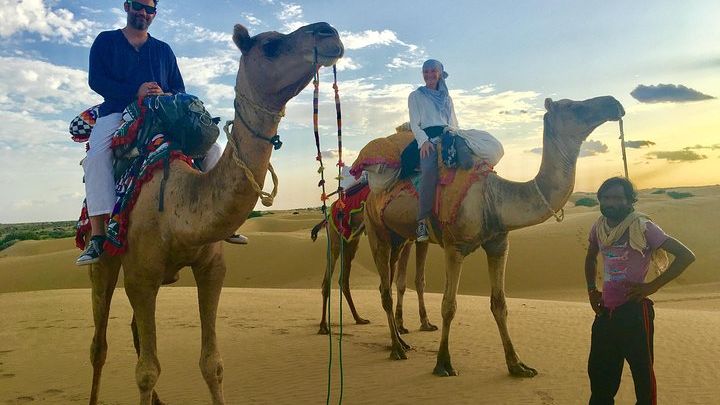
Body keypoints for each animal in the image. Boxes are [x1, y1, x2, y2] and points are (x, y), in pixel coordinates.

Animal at [85, 22, 343, 405]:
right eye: (270, 46)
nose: (329, 32)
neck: (178, 211)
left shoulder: (212, 269)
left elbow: (212, 363)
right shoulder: (141, 276)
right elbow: (146, 372)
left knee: (133, 332)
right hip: (104, 261)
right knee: (99, 346)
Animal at [361, 96, 625, 377]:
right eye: (572, 106)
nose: (612, 102)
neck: (491, 200)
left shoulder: (499, 244)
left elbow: (500, 304)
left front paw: (517, 365)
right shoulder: (454, 247)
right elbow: (448, 305)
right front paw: (443, 363)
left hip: (398, 237)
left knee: (388, 282)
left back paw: (401, 341)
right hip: (375, 230)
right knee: (385, 289)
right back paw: (396, 349)